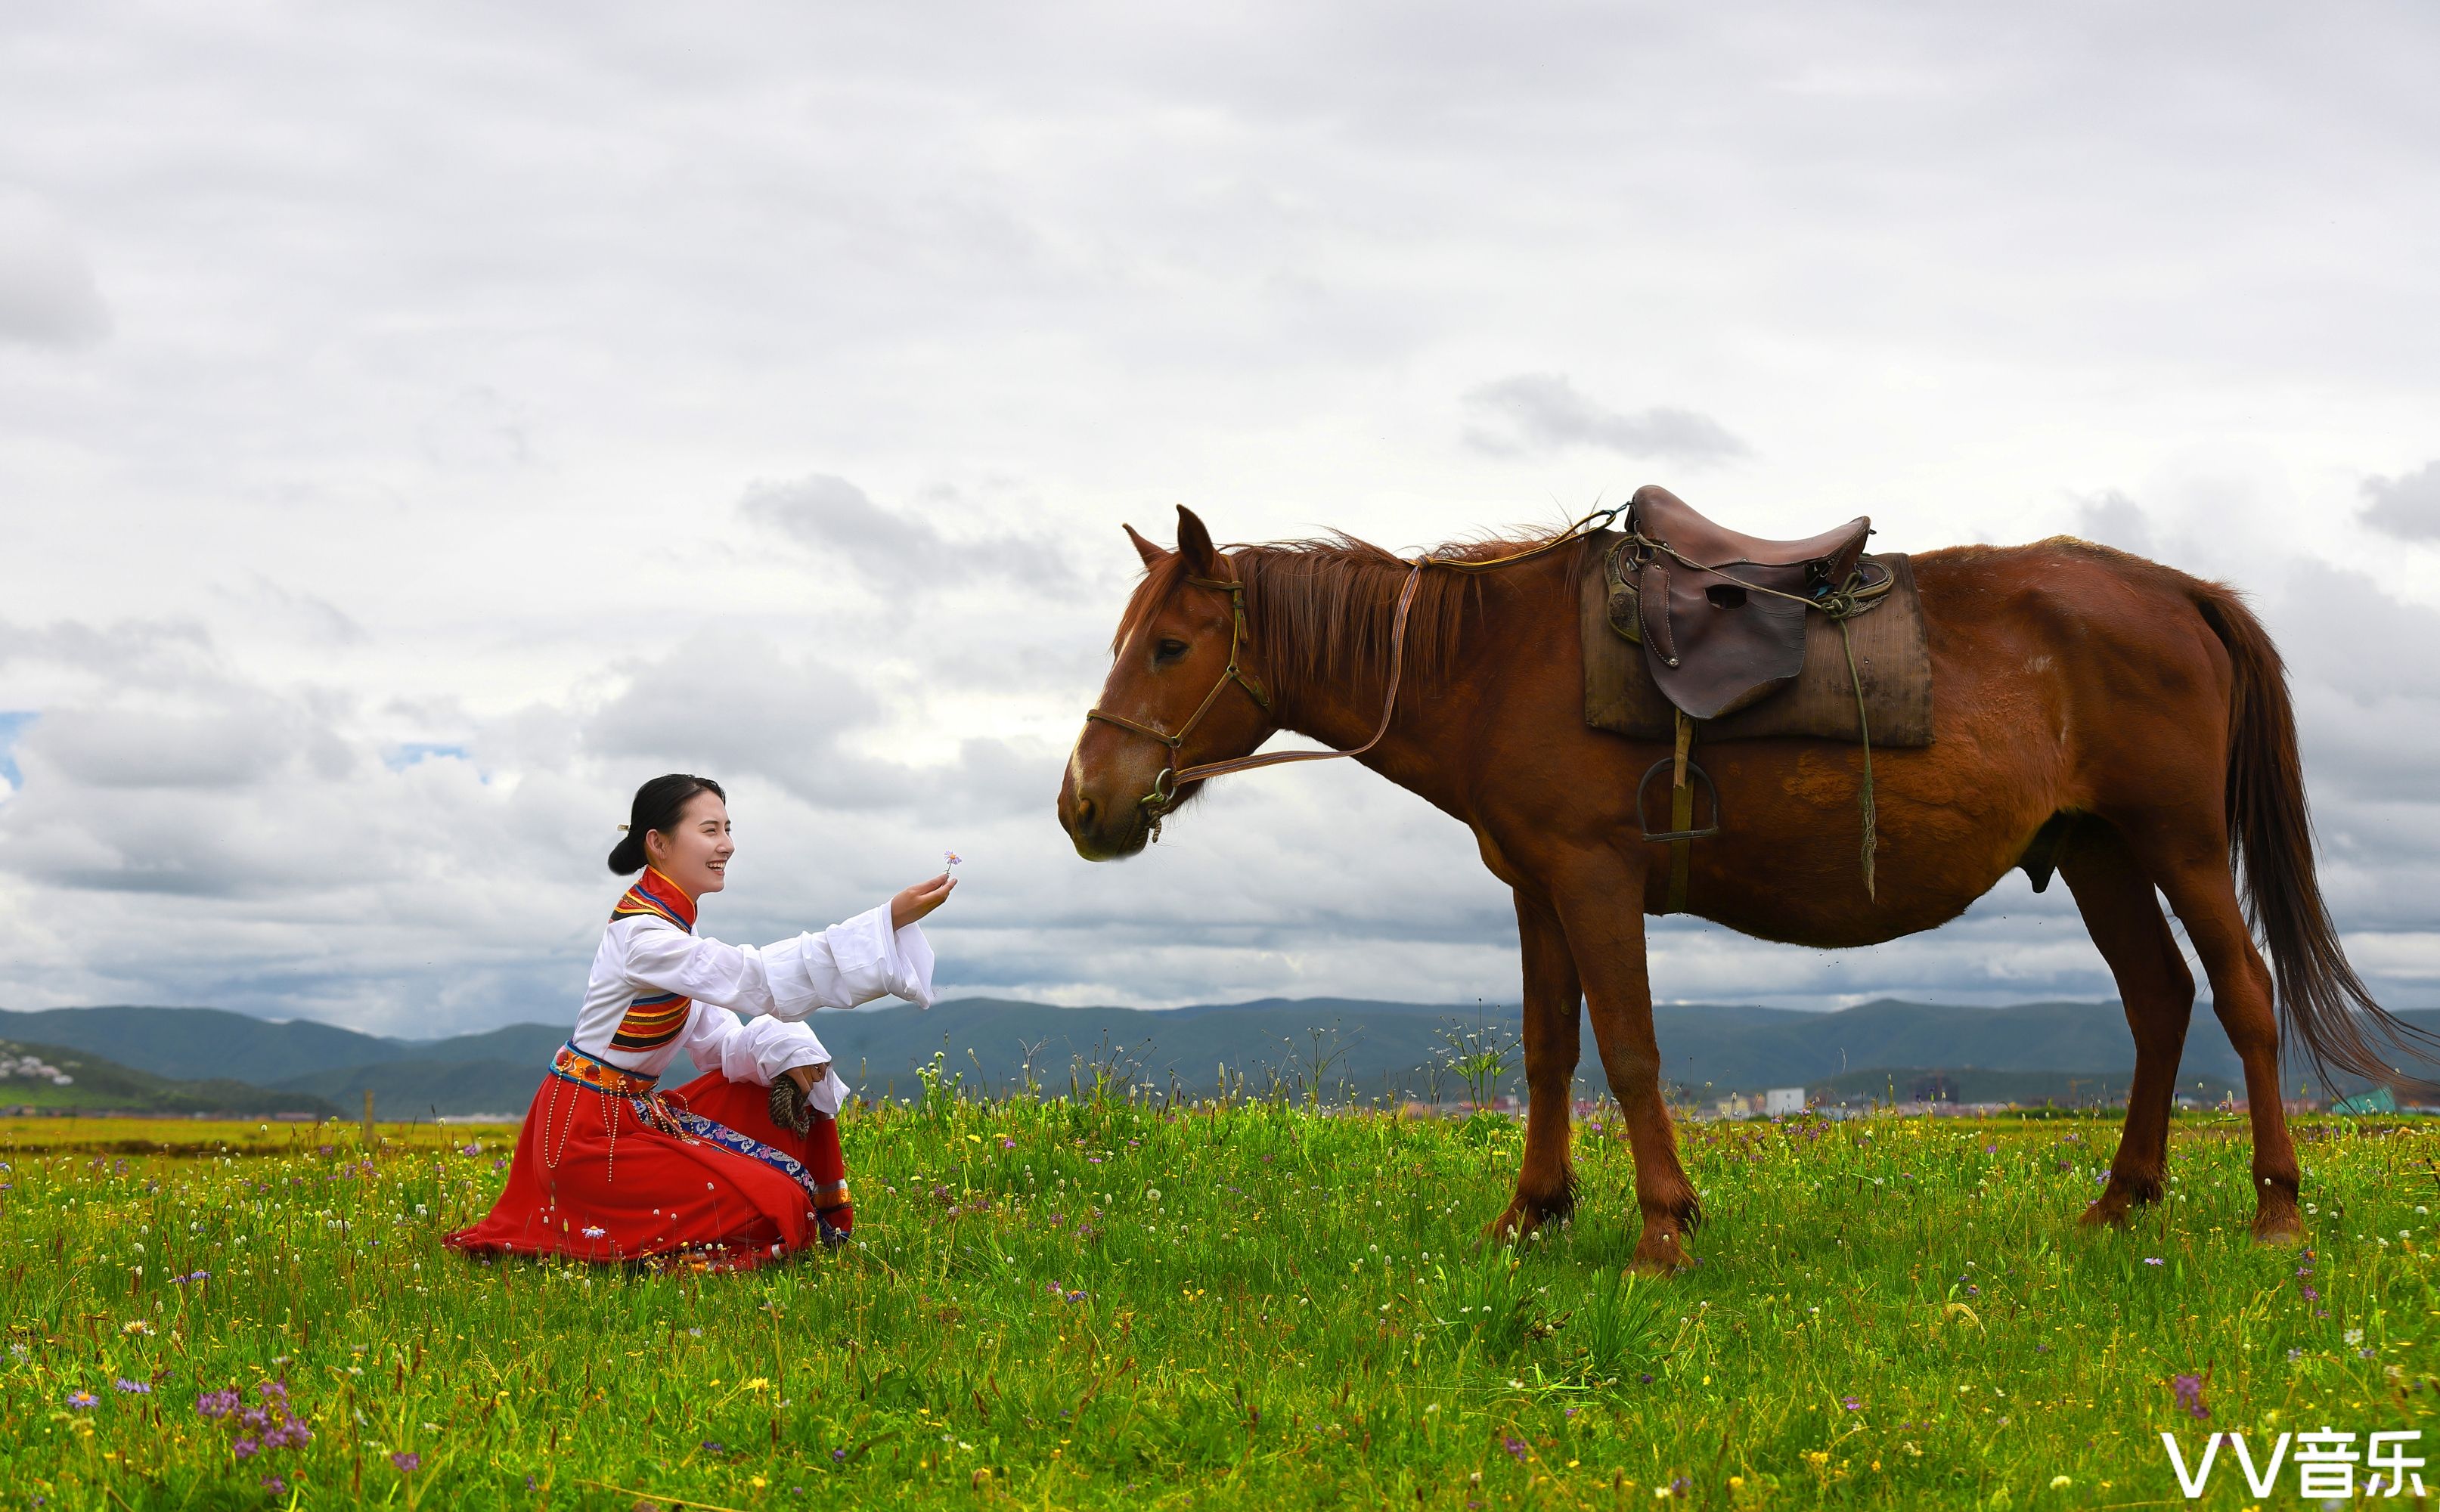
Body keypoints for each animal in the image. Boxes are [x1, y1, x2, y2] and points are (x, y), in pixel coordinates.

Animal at [1059, 504, 2430, 1268]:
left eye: (1169, 645)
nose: (1083, 803)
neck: (1489, 662)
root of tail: (2178, 593)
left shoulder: (1592, 877)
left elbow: (1628, 1052)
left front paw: (1661, 1229)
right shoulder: (1533, 888)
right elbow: (1547, 1053)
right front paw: (1530, 1217)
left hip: (2177, 841)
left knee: (2241, 998)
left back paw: (2275, 1213)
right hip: (2095, 848)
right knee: (2157, 1003)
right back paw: (2119, 1204)